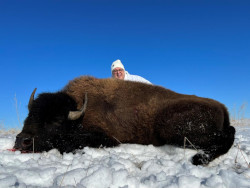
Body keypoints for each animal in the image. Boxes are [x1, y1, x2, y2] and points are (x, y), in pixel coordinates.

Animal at [14, 75, 235, 165]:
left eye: (56, 121)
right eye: (29, 114)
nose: (21, 141)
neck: (78, 110)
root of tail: (221, 106)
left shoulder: (108, 139)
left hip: (175, 130)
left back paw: (199, 159)